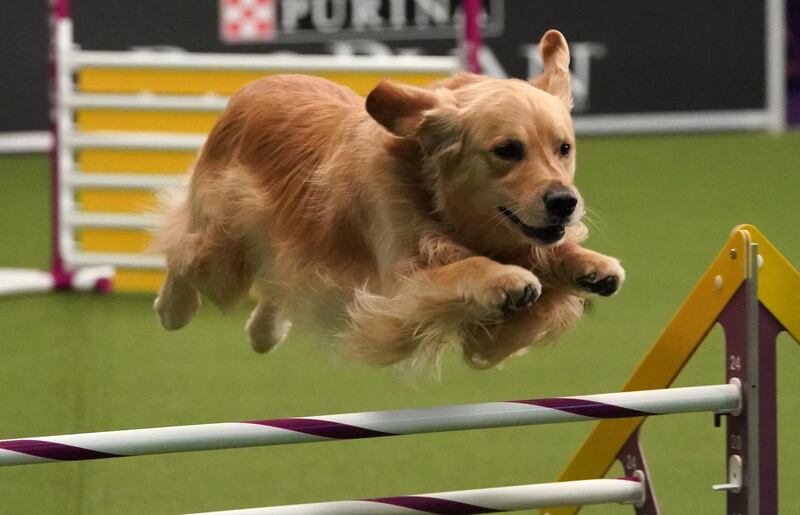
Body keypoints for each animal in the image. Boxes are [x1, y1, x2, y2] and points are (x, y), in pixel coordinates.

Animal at [152, 31, 624, 370]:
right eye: (507, 150)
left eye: (564, 148)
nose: (565, 202)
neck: (435, 198)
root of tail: (256, 84)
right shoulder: (397, 290)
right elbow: (467, 268)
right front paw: (506, 277)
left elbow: (545, 253)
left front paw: (589, 265)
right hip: (224, 249)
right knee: (184, 256)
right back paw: (171, 308)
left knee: (275, 285)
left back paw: (264, 332)